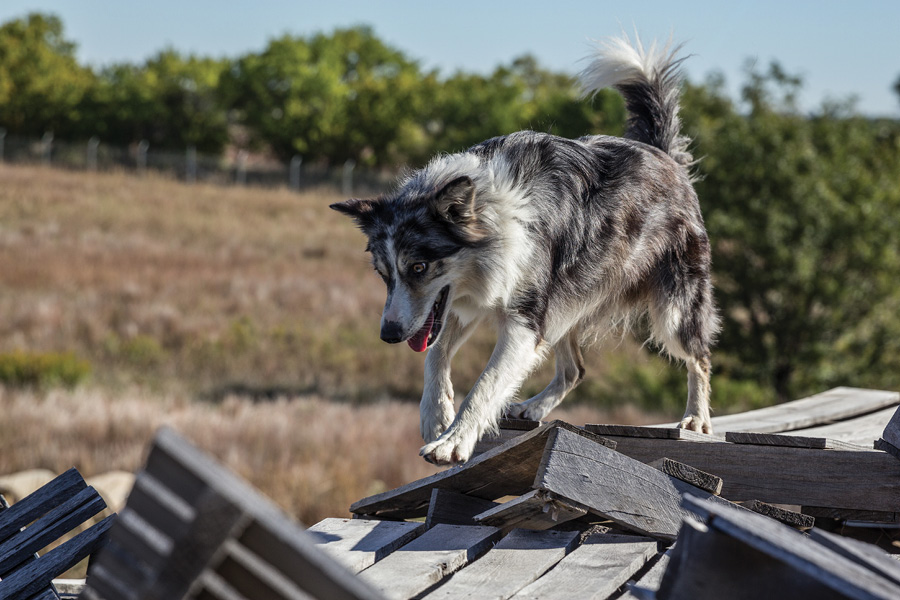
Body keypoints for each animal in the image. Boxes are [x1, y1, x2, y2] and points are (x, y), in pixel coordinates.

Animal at [330, 35, 716, 466]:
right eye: (384, 275)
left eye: (418, 267)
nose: (389, 335)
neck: (491, 212)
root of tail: (662, 154)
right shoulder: (469, 304)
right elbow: (435, 354)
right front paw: (436, 415)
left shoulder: (524, 320)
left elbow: (486, 383)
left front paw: (452, 441)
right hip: (567, 303)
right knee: (574, 370)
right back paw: (533, 407)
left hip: (672, 308)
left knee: (699, 357)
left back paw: (696, 419)